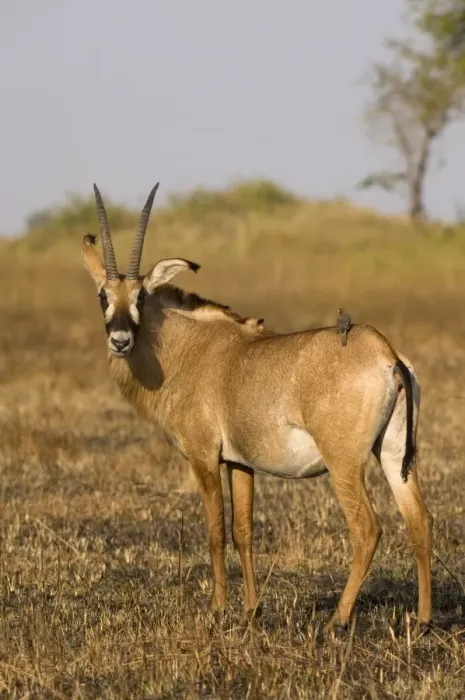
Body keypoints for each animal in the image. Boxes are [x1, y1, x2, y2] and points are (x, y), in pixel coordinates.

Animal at [82, 183, 433, 634]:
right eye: (102, 295)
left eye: (140, 295)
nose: (121, 340)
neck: (188, 350)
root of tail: (386, 352)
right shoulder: (240, 462)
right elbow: (243, 531)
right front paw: (251, 610)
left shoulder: (203, 457)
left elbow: (215, 531)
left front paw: (218, 609)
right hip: (392, 454)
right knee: (419, 519)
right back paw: (423, 620)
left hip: (344, 463)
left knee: (367, 528)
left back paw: (337, 620)